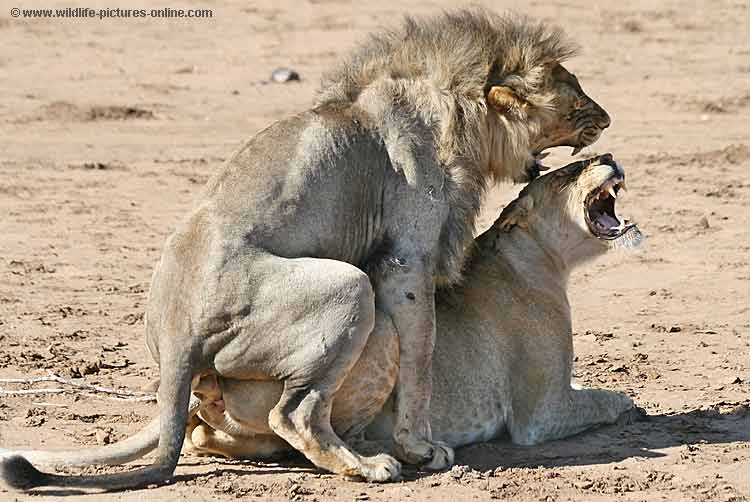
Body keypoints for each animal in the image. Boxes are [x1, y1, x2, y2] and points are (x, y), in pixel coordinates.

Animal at [1, 10, 612, 490]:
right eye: (574, 89)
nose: (606, 120)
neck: (458, 114)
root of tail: (175, 340)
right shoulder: (405, 261)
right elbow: (422, 356)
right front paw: (420, 448)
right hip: (349, 287)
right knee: (293, 412)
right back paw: (368, 466)